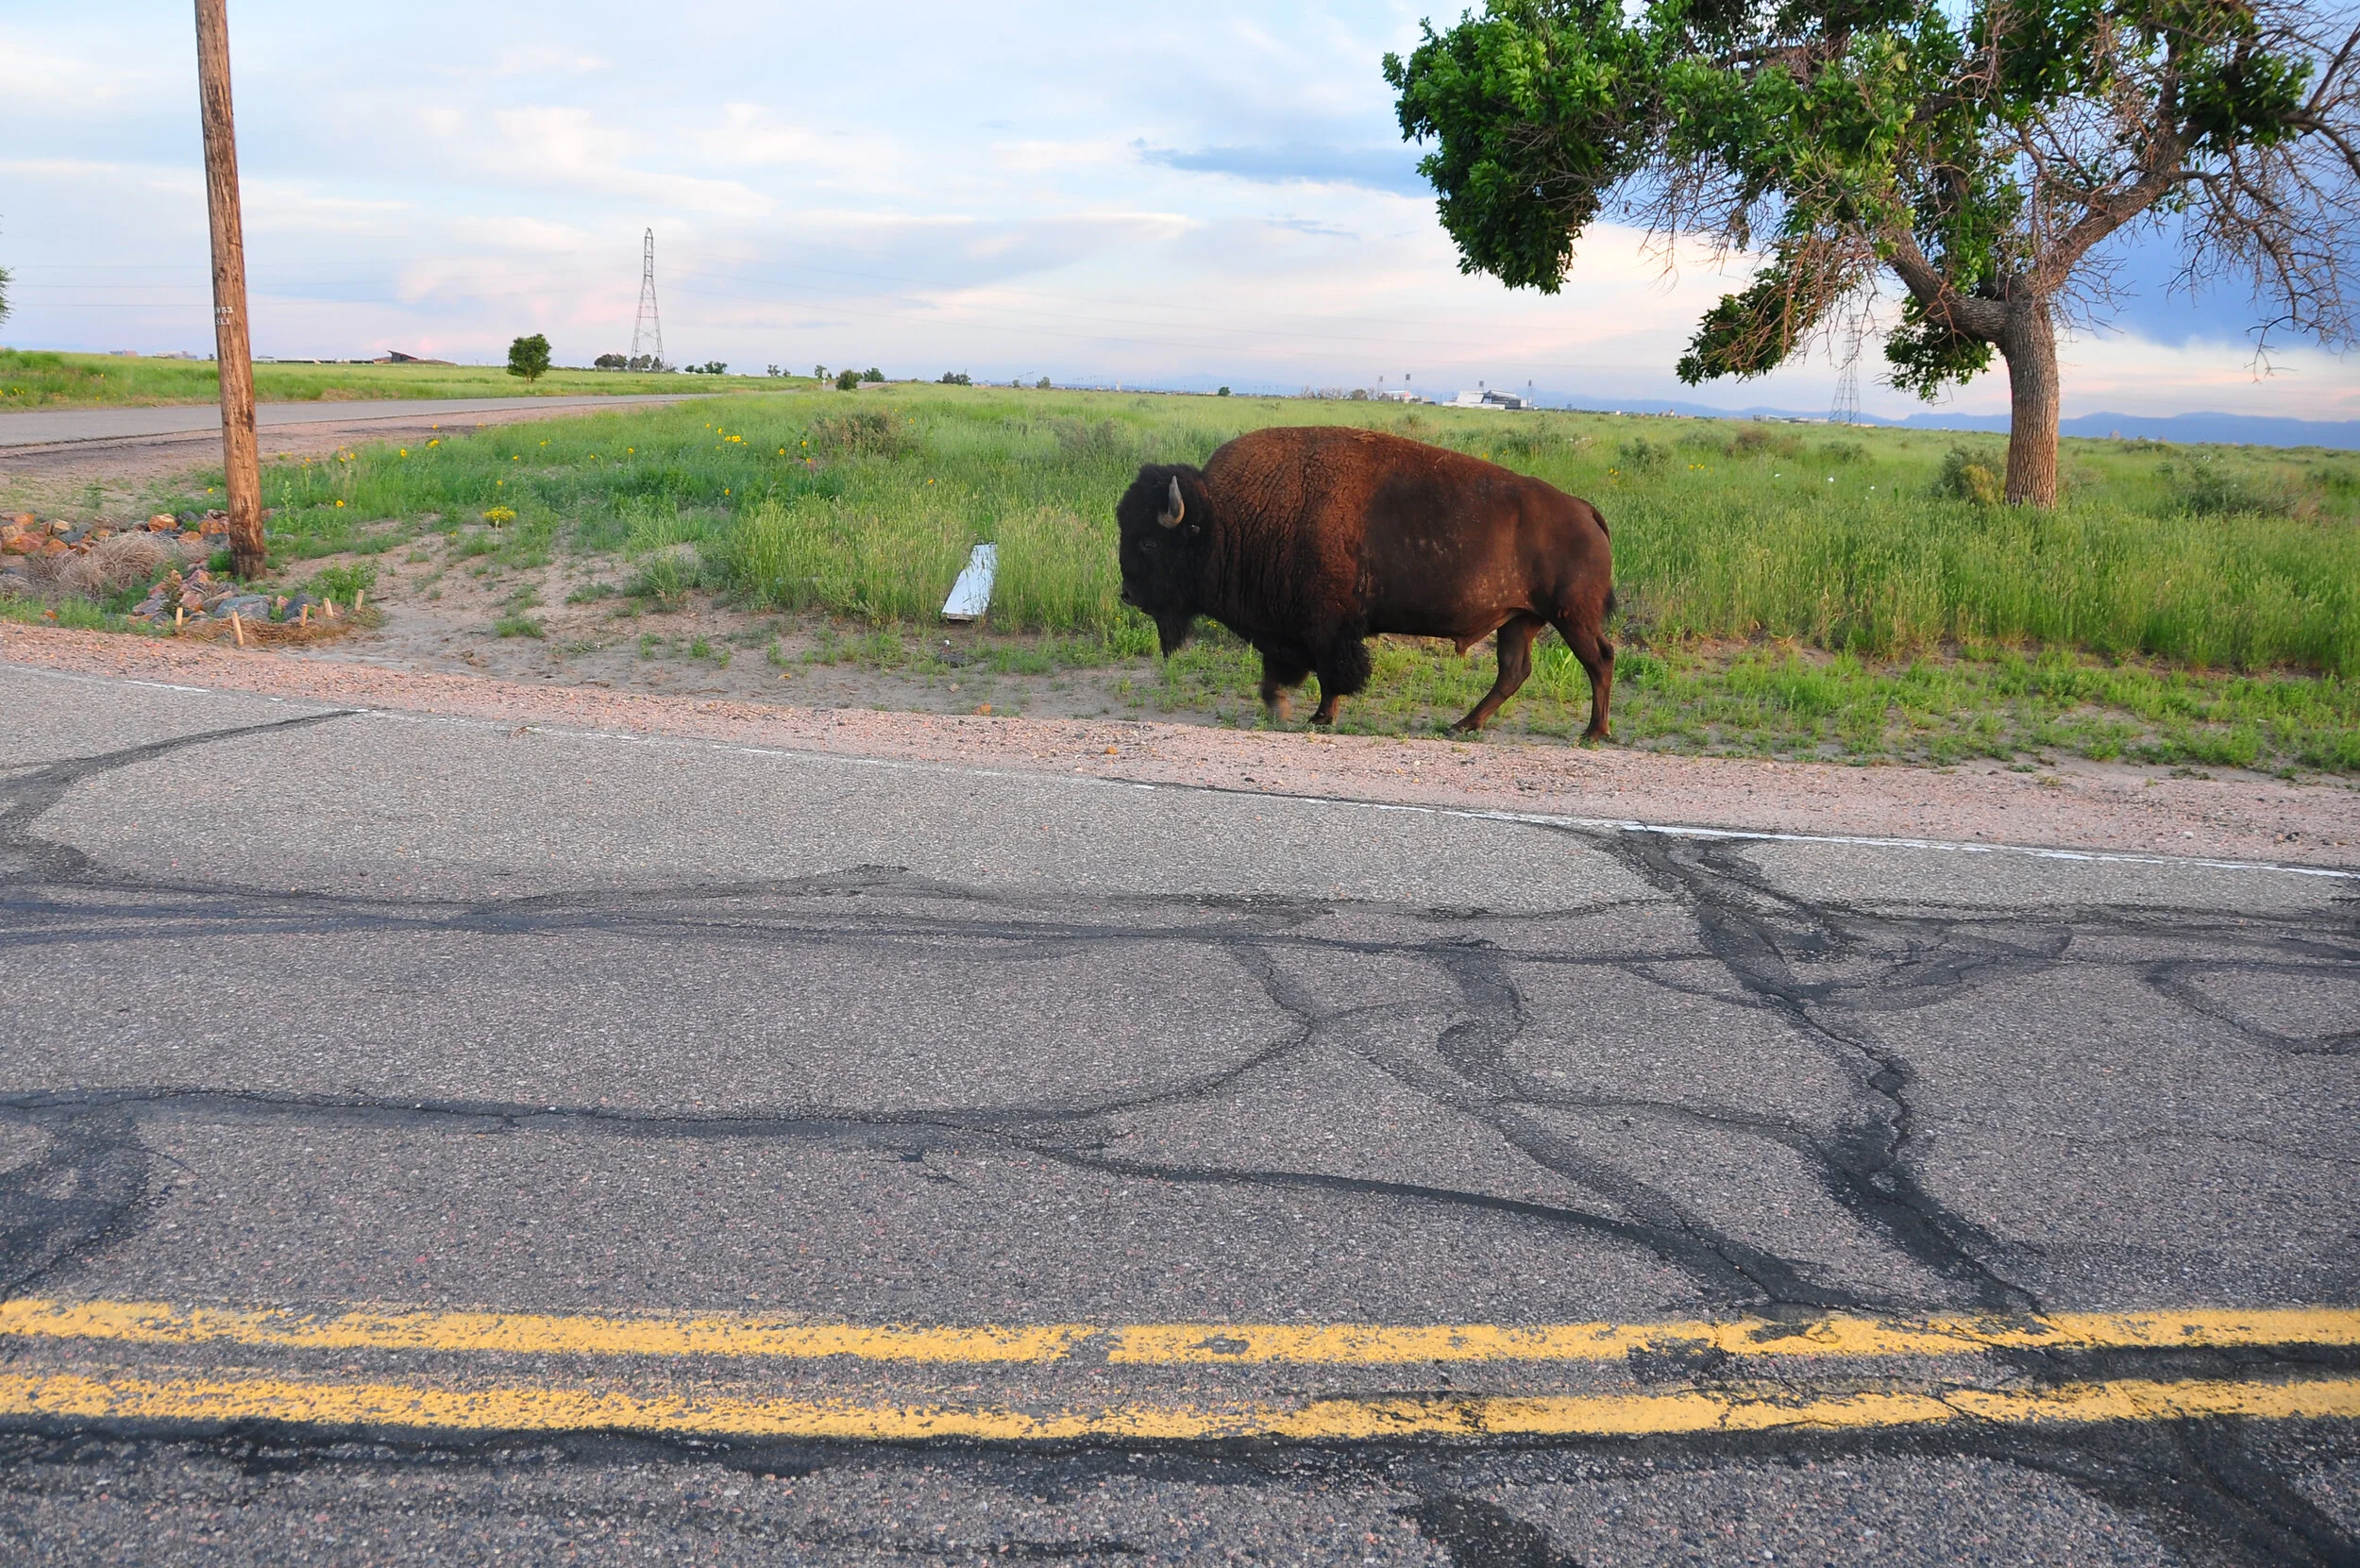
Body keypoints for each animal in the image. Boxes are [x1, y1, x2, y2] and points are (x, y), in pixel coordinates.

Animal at [1115, 425, 1615, 736]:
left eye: (1148, 542)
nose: (1128, 594)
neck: (1226, 519)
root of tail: (1583, 510)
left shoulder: (1326, 627)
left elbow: (1331, 672)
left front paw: (1319, 717)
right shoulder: (1285, 630)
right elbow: (1281, 671)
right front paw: (1280, 706)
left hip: (1571, 616)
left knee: (1599, 661)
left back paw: (1593, 732)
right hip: (1520, 620)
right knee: (1514, 671)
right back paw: (1463, 725)